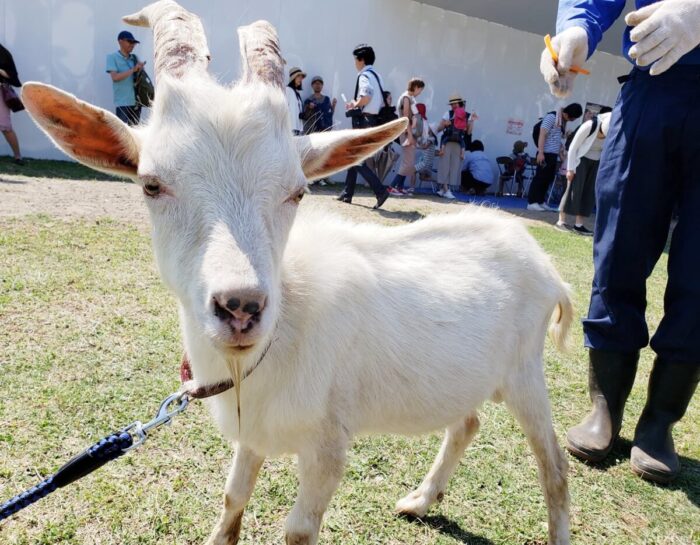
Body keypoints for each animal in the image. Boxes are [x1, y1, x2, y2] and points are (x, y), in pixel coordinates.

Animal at [20, 2, 568, 540]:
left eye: (298, 190)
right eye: (151, 185)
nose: (240, 308)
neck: (280, 338)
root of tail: (543, 261)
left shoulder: (328, 445)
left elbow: (298, 530)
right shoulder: (252, 431)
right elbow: (233, 497)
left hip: (525, 373)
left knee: (555, 467)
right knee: (466, 423)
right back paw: (420, 500)